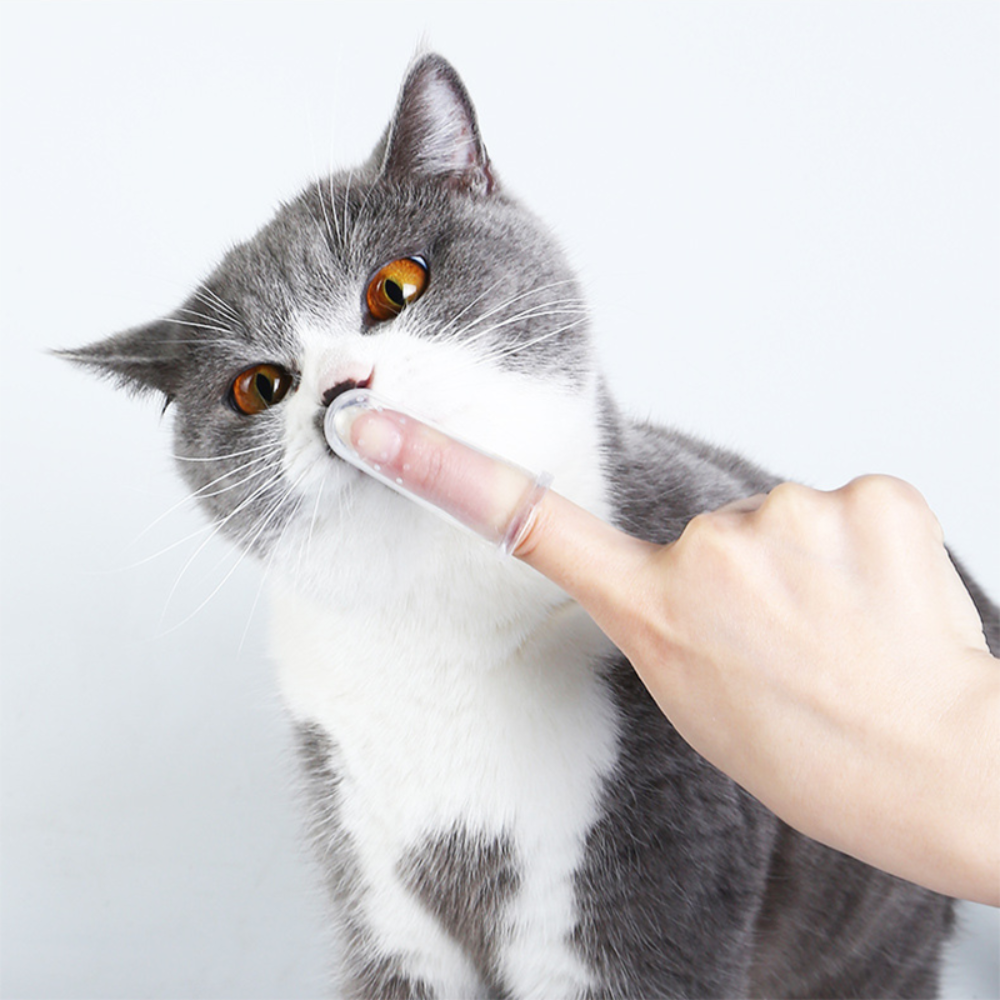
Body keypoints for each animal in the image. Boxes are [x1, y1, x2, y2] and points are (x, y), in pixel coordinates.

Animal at [64, 54, 1000, 1000]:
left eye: (395, 287)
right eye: (258, 387)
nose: (341, 387)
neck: (427, 624)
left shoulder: (648, 876)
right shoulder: (375, 884)